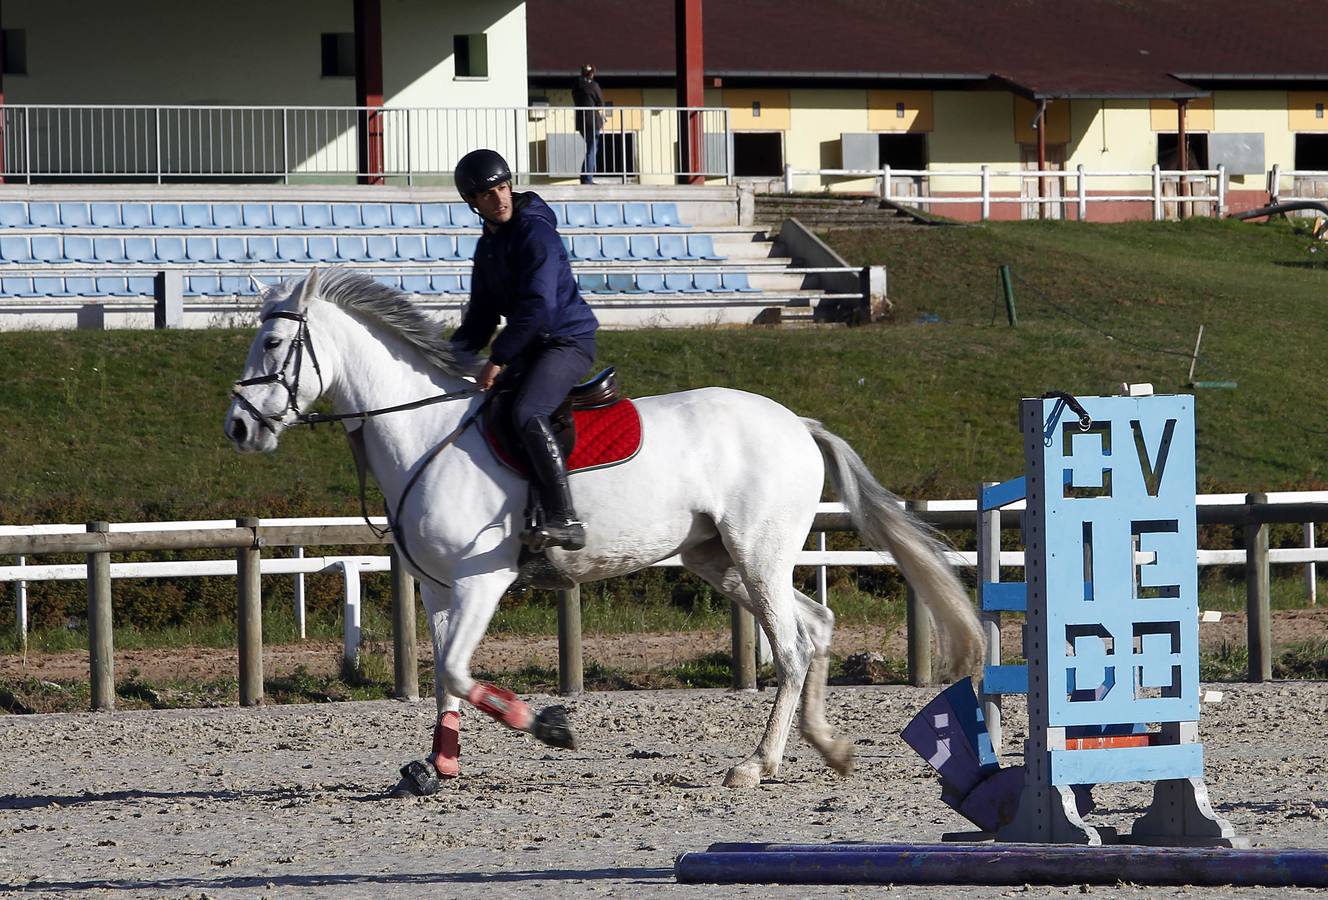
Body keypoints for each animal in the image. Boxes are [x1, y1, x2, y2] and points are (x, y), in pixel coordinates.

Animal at [223, 268, 982, 796]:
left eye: (273, 342)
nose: (238, 429)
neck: (424, 431)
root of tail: (797, 422)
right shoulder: (440, 591)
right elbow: (443, 678)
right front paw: (437, 767)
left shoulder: (481, 583)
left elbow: (460, 672)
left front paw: (550, 727)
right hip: (719, 560)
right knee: (816, 625)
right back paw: (823, 747)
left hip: (757, 555)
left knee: (792, 648)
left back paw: (754, 764)